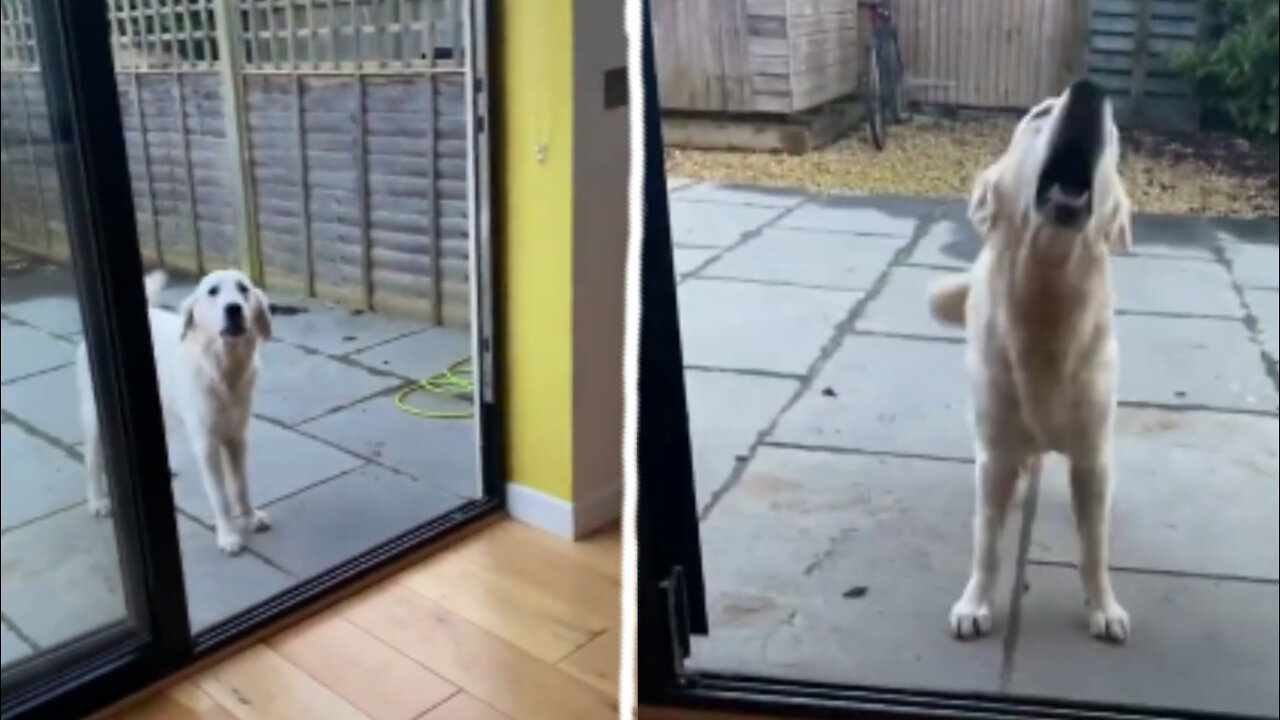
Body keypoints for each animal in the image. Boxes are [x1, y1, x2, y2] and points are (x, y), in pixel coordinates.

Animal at [77, 266, 275, 550]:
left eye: (243, 289)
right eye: (213, 291)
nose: (234, 309)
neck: (222, 367)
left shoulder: (236, 437)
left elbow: (240, 485)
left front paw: (249, 517)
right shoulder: (206, 443)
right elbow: (220, 496)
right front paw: (228, 535)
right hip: (94, 415)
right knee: (92, 459)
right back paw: (97, 501)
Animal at [926, 81, 1136, 640]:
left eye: (1113, 131)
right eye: (1040, 114)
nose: (1090, 92)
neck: (1049, 295)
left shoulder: (1092, 457)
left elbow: (1094, 547)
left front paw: (1104, 606)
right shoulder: (995, 453)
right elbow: (987, 543)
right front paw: (975, 602)